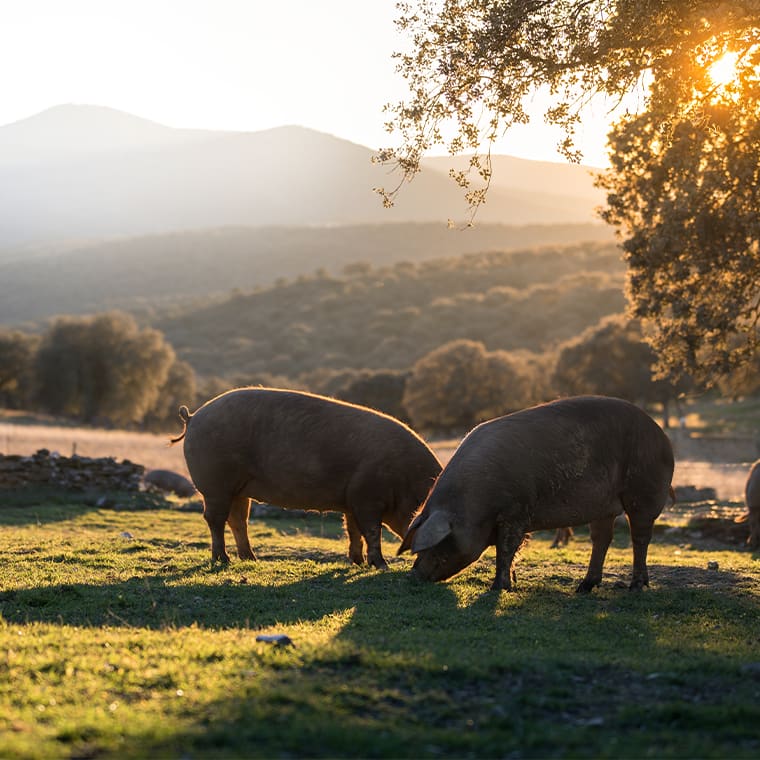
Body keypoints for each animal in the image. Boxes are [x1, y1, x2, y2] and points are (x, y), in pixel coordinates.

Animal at [170, 387, 442, 567]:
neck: (406, 483)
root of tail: (193, 417)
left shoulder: (352, 500)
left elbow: (353, 531)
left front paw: (356, 562)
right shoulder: (367, 498)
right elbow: (372, 532)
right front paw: (380, 565)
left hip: (238, 489)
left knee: (238, 520)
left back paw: (251, 559)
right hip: (215, 485)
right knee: (214, 519)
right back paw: (223, 560)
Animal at [398, 396, 675, 593]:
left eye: (438, 543)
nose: (414, 574)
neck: (473, 504)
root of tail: (662, 436)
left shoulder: (515, 512)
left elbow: (506, 549)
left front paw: (499, 588)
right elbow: (511, 551)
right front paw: (511, 583)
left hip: (644, 491)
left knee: (640, 537)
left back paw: (635, 587)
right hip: (603, 505)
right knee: (602, 539)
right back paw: (584, 587)